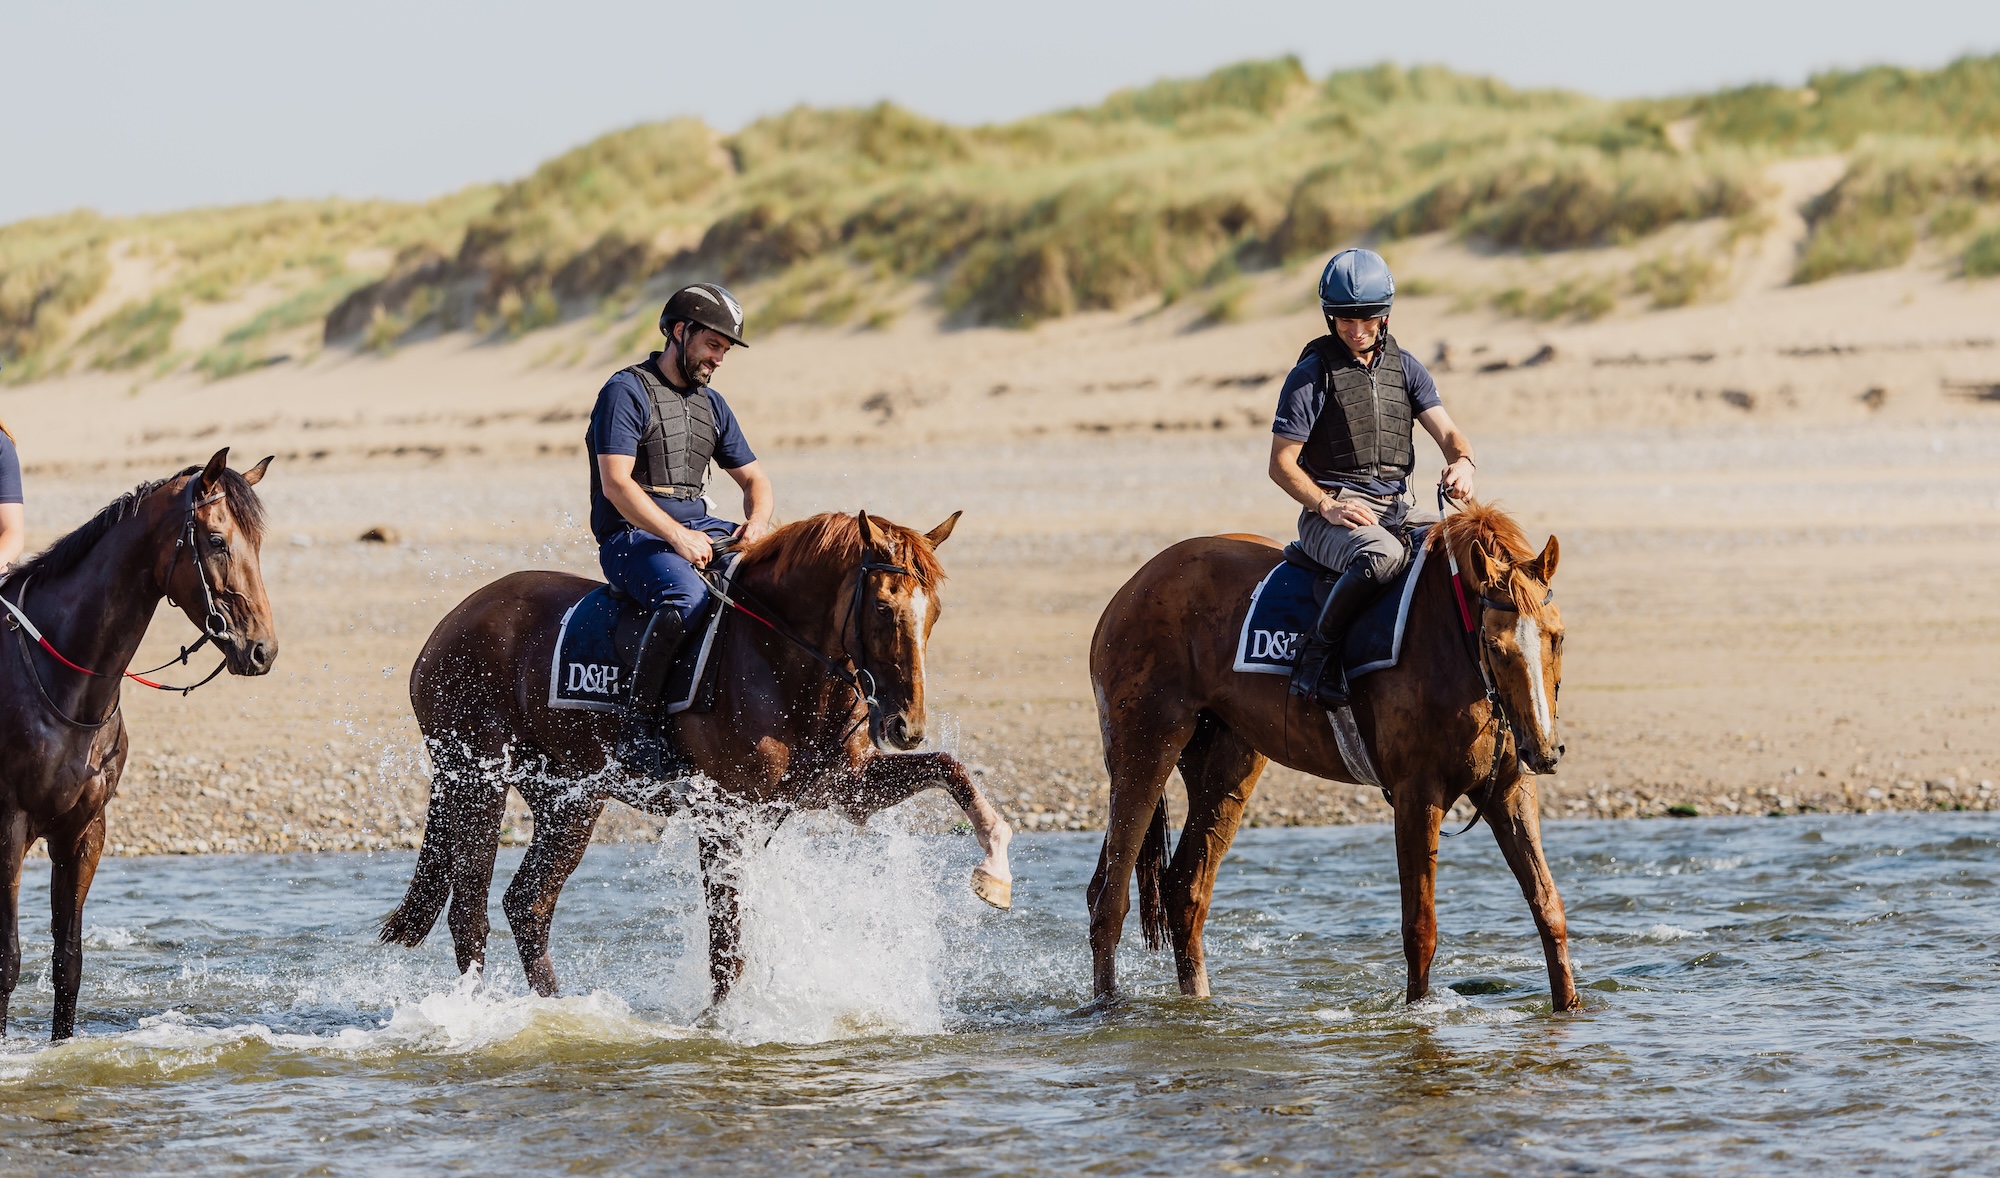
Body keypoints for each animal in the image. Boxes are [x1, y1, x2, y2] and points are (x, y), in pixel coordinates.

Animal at [0, 449, 277, 1039]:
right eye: (217, 540)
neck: (63, 689)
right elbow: (8, 961)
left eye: (257, 543)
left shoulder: (84, 834)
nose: (263, 650)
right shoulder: (7, 828)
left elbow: (68, 962)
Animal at [380, 510, 1014, 1003]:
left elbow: (952, 769)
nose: (905, 727)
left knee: (528, 905)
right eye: (883, 609)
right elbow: (727, 943)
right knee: (470, 909)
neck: (779, 658)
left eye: (934, 613)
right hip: (476, 781)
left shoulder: (844, 787)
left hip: (570, 800)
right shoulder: (723, 812)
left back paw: (556, 1013)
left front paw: (996, 869)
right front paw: (722, 1026)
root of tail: (453, 621)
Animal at [1085, 501, 1580, 1012]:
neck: (1450, 640)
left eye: (1557, 637)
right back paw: (1108, 1010)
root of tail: (1132, 588)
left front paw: (1569, 1008)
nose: (1544, 749)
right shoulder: (1417, 796)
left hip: (1224, 769)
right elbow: (1420, 929)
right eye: (1496, 648)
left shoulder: (1509, 791)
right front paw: (1417, 1016)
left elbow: (1549, 908)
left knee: (1184, 889)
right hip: (1144, 753)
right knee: (1109, 897)